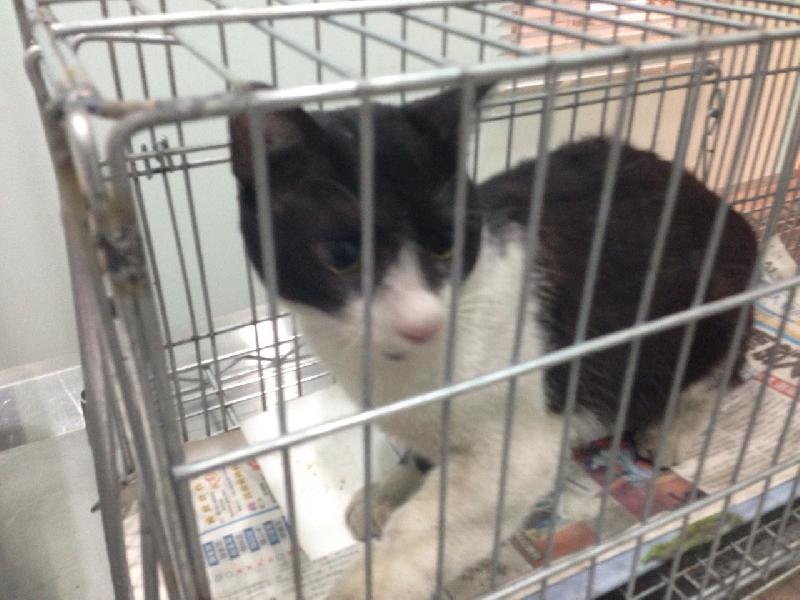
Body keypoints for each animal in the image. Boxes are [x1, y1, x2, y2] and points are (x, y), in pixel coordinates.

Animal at [228, 84, 757, 599]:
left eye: (447, 244)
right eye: (342, 256)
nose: (423, 321)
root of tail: (715, 199)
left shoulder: (519, 447)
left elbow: (433, 530)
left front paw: (371, 582)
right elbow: (426, 453)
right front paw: (391, 490)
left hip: (712, 309)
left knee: (720, 374)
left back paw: (670, 430)